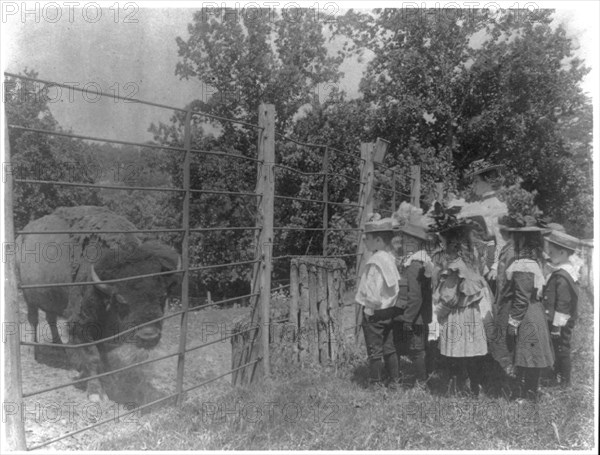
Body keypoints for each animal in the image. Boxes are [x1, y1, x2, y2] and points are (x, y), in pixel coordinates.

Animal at [16, 207, 180, 402]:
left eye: (162, 297)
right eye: (121, 300)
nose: (149, 337)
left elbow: (104, 355)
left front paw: (109, 378)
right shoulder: (82, 324)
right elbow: (93, 356)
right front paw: (95, 392)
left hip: (52, 299)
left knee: (51, 319)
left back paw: (61, 348)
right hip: (28, 296)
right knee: (33, 320)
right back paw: (34, 349)